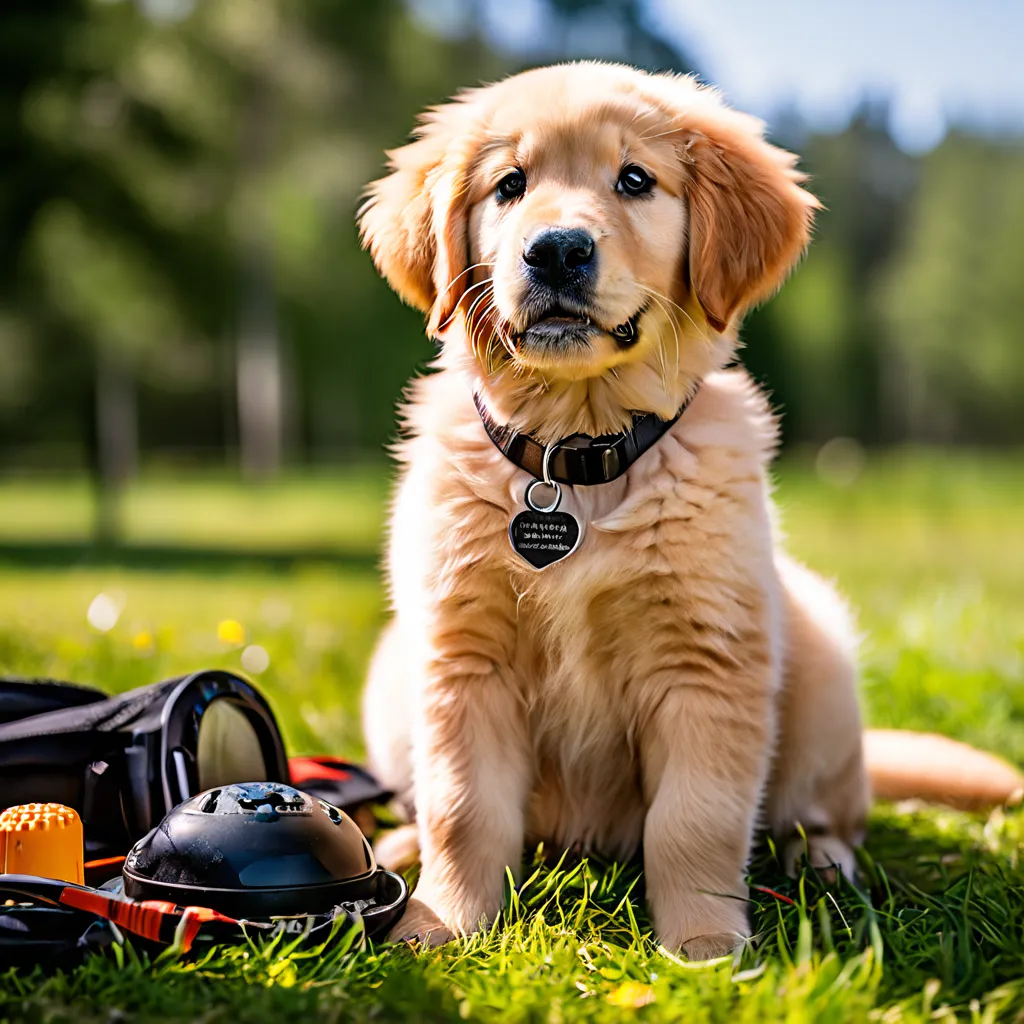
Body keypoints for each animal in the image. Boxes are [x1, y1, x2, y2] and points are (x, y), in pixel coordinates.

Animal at [356, 61, 1019, 958]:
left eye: (635, 180)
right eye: (510, 185)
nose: (556, 249)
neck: (578, 455)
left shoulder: (708, 659)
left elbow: (694, 820)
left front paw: (704, 947)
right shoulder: (461, 658)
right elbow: (463, 811)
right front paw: (441, 925)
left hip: (820, 664)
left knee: (833, 811)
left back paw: (822, 861)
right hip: (393, 676)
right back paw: (398, 842)